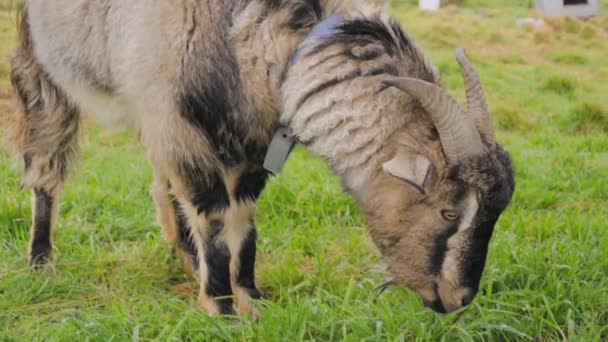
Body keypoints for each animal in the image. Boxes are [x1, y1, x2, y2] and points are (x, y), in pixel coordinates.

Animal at [9, 0, 512, 316]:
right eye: (449, 211)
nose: (458, 298)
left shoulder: (247, 141)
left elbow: (244, 216)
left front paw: (250, 293)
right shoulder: (181, 124)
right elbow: (214, 215)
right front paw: (220, 306)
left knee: (163, 181)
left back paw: (185, 256)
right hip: (42, 68)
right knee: (46, 167)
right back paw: (40, 261)